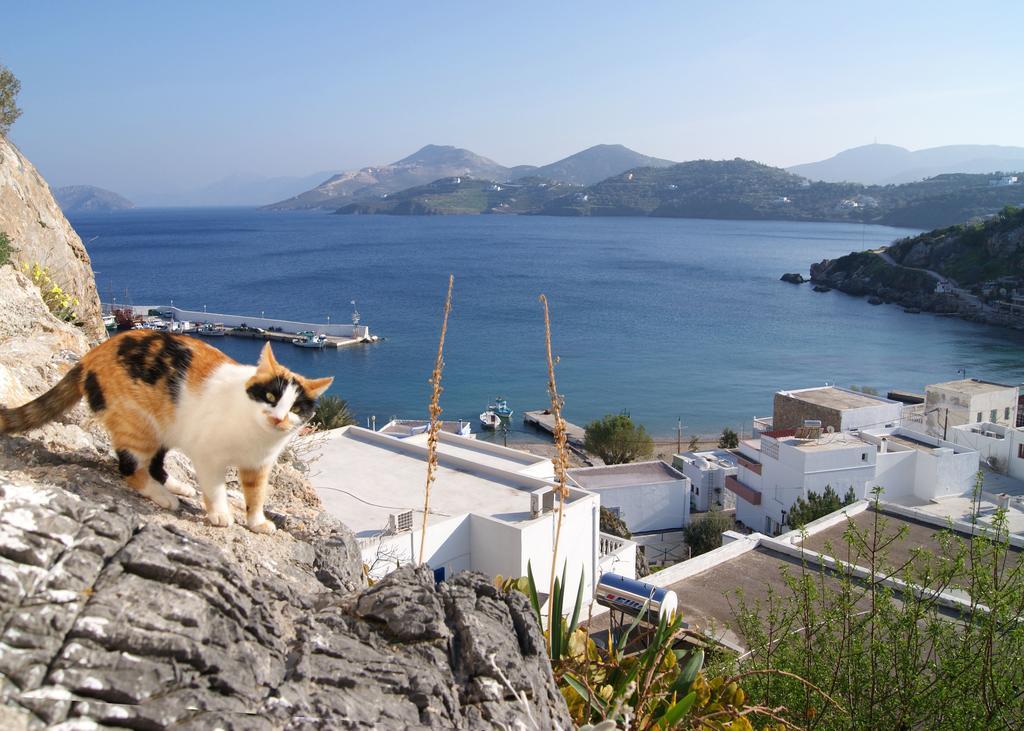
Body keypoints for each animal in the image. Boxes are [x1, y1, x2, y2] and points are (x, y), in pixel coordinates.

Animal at [0, 329, 331, 528]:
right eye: (271, 397)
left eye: (296, 409)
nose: (278, 419)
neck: (256, 435)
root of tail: (90, 356)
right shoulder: (208, 456)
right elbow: (215, 487)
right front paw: (220, 514)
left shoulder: (259, 465)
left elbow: (256, 493)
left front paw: (257, 522)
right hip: (139, 423)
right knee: (130, 468)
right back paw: (162, 496)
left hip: (165, 428)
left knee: (155, 463)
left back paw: (176, 486)